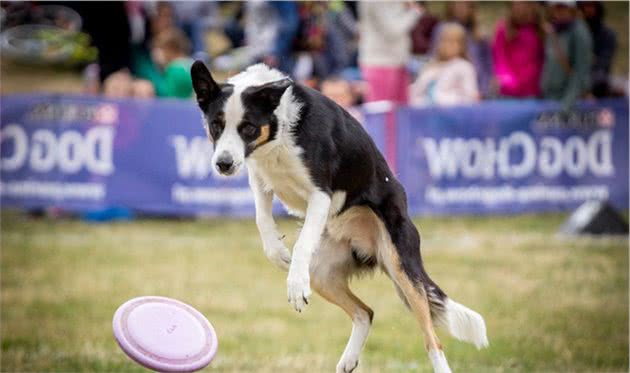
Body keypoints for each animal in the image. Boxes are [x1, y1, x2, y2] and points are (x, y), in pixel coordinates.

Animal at [190, 62, 492, 372]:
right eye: (216, 125)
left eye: (248, 127)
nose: (223, 164)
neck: (280, 132)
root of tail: (369, 248)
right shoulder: (260, 180)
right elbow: (262, 222)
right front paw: (279, 253)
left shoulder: (320, 194)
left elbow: (301, 243)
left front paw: (295, 285)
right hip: (322, 272)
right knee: (365, 312)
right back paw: (348, 358)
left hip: (401, 267)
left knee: (432, 339)